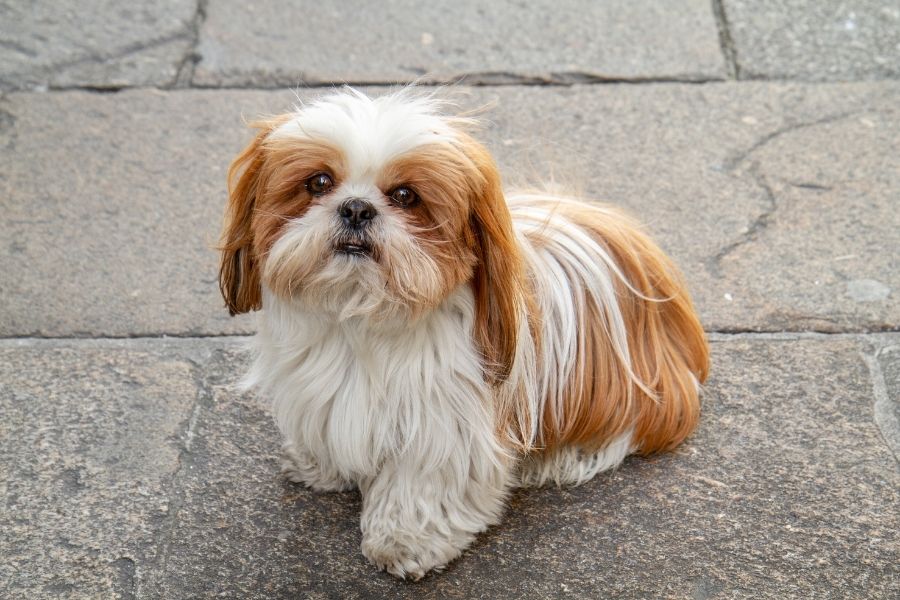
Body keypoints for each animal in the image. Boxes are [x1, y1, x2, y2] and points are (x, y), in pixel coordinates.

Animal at [218, 86, 712, 580]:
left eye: (405, 195)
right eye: (319, 183)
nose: (357, 208)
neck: (363, 318)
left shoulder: (443, 424)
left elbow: (421, 485)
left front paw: (404, 541)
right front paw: (320, 466)